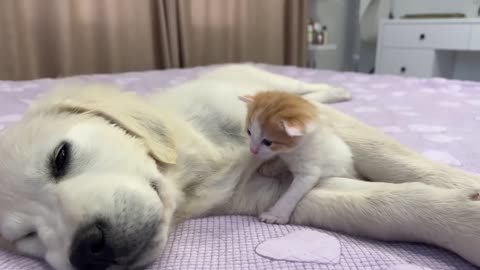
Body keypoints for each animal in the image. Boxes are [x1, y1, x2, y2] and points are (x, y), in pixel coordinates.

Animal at [240, 90, 356, 224]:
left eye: (268, 142)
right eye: (249, 132)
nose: (252, 150)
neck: (294, 151)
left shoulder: (308, 172)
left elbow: (292, 194)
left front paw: (275, 215)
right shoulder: (286, 156)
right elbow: (281, 162)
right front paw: (270, 168)